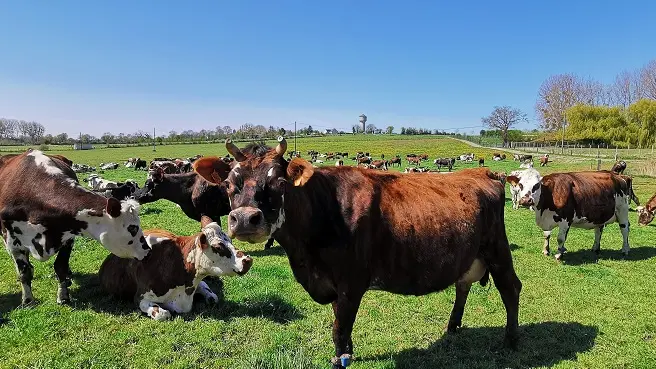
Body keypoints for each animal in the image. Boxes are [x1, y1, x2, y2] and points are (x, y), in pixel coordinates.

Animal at [0, 150, 149, 304]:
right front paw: (28, 300)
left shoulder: (68, 236)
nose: (147, 250)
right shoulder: (12, 241)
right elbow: (24, 271)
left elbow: (60, 266)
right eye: (133, 228)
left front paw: (63, 296)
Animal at [98, 216, 252, 320]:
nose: (248, 260)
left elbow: (213, 297)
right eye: (218, 247)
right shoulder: (140, 297)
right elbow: (163, 314)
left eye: (230, 241)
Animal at [192, 138, 520, 368]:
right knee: (462, 284)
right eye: (229, 184)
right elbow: (341, 323)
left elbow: (340, 327)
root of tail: (483, 171)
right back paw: (452, 326)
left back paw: (510, 339)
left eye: (279, 182)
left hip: (498, 249)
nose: (245, 218)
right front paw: (346, 353)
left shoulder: (352, 282)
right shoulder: (333, 284)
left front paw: (342, 359)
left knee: (510, 288)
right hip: (469, 253)